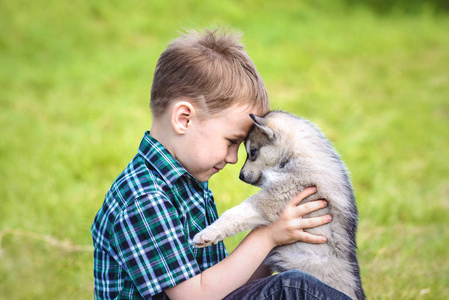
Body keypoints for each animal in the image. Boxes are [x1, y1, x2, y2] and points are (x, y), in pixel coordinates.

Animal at [192, 111, 364, 298]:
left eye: (252, 152)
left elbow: (234, 213)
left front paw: (206, 234)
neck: (297, 156)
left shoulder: (282, 191)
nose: (240, 177)